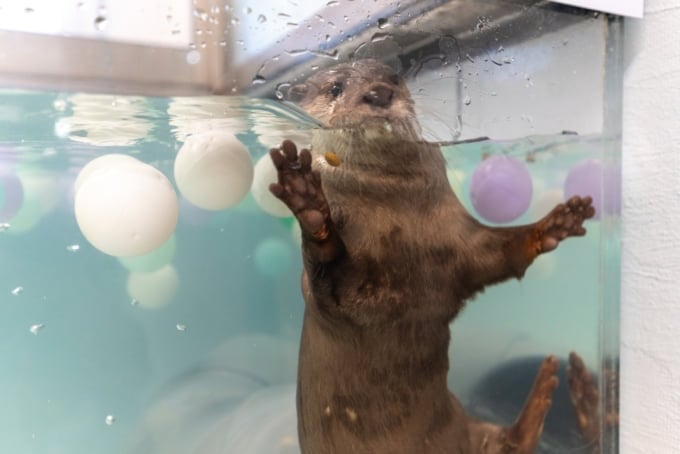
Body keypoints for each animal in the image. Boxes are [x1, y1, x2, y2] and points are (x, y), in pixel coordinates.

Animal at [268, 59, 595, 453]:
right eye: (335, 88)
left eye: (394, 77)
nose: (379, 93)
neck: (398, 222)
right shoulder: (330, 296)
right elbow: (328, 272)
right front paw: (308, 201)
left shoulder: (462, 242)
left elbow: (502, 253)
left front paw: (555, 224)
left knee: (510, 443)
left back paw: (560, 388)